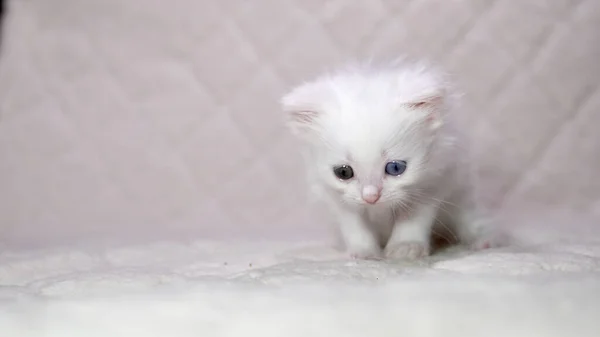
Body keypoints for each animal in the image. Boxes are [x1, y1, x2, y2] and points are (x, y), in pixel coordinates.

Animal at [284, 59, 500, 260]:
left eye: (395, 168)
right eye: (344, 172)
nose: (371, 197)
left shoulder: (434, 181)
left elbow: (412, 218)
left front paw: (406, 247)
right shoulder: (334, 195)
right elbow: (353, 224)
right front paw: (364, 252)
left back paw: (484, 240)